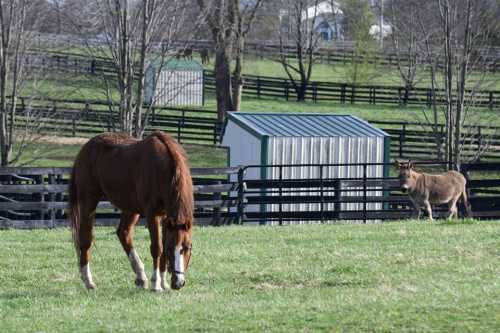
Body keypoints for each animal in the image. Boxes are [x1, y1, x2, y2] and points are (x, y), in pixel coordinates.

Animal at [69, 132, 194, 290]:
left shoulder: (167, 216)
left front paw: (163, 282)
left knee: (123, 233)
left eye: (188, 247)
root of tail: (86, 148)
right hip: (89, 201)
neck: (164, 168)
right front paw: (156, 284)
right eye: (171, 249)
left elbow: (162, 245)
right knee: (85, 239)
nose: (178, 283)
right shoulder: (152, 214)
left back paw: (140, 276)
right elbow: (157, 248)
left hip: (130, 207)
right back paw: (88, 280)